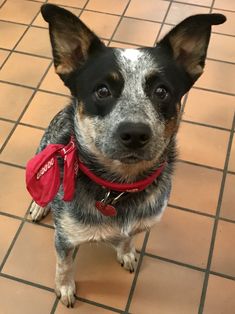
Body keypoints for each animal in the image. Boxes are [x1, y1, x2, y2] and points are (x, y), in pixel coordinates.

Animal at [25, 4, 226, 308]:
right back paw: (39, 205)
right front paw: (65, 288)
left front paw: (127, 251)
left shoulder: (141, 222)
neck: (119, 188)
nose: (134, 133)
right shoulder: (65, 238)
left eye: (161, 91)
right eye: (102, 90)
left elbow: (129, 237)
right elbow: (65, 265)